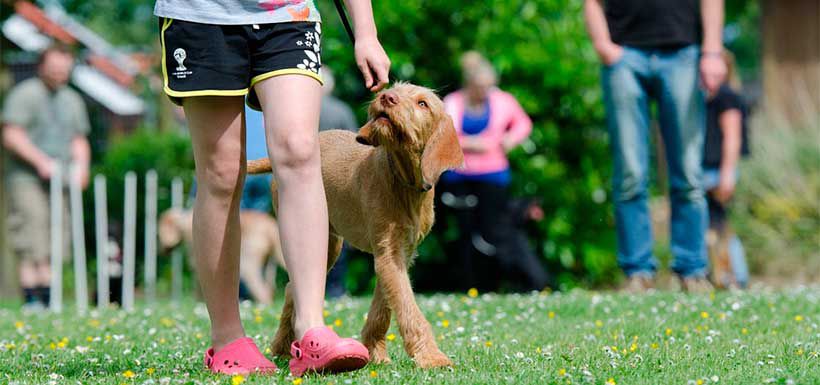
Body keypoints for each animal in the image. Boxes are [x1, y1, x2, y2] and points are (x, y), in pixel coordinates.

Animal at [247, 83, 464, 366]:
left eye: (422, 104)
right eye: (394, 89)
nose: (386, 96)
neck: (404, 181)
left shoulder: (398, 255)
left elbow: (384, 307)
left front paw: (375, 352)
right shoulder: (388, 253)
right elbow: (408, 307)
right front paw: (431, 356)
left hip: (328, 245)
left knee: (291, 289)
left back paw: (283, 347)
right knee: (292, 288)